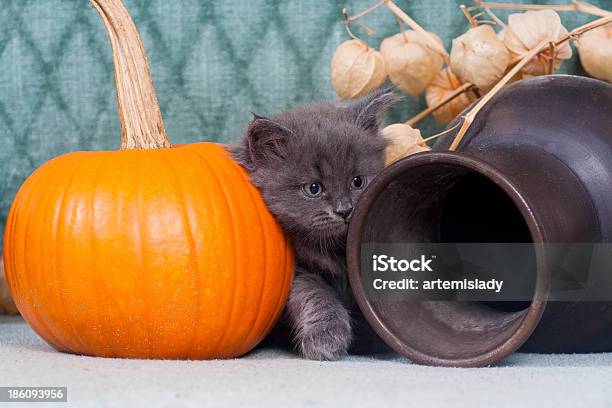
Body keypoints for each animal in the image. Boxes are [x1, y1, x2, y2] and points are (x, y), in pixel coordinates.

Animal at [231, 87, 396, 360]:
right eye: (314, 188)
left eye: (358, 182)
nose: (344, 210)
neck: (333, 248)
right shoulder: (296, 272)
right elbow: (316, 295)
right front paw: (327, 339)